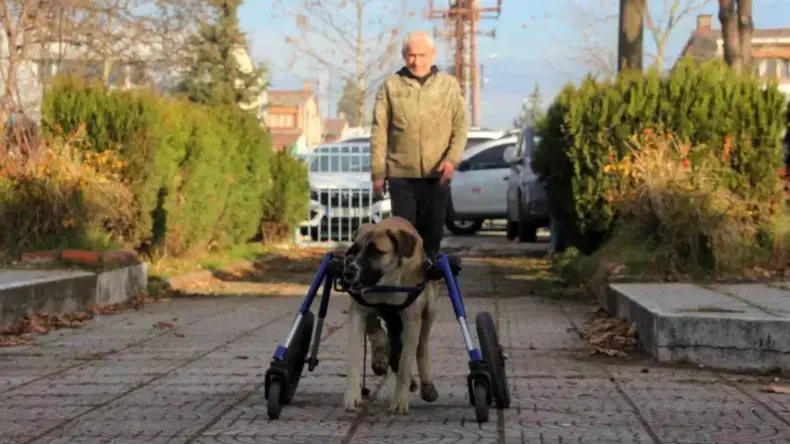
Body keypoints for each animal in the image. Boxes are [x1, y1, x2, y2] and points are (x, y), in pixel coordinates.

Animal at [344, 215, 442, 412]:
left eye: (375, 251)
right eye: (354, 250)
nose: (348, 272)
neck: (386, 283)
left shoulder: (412, 322)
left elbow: (405, 363)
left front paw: (399, 401)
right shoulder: (358, 312)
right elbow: (355, 357)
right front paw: (352, 395)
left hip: (429, 311)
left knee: (421, 347)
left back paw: (426, 385)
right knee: (382, 334)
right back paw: (381, 357)